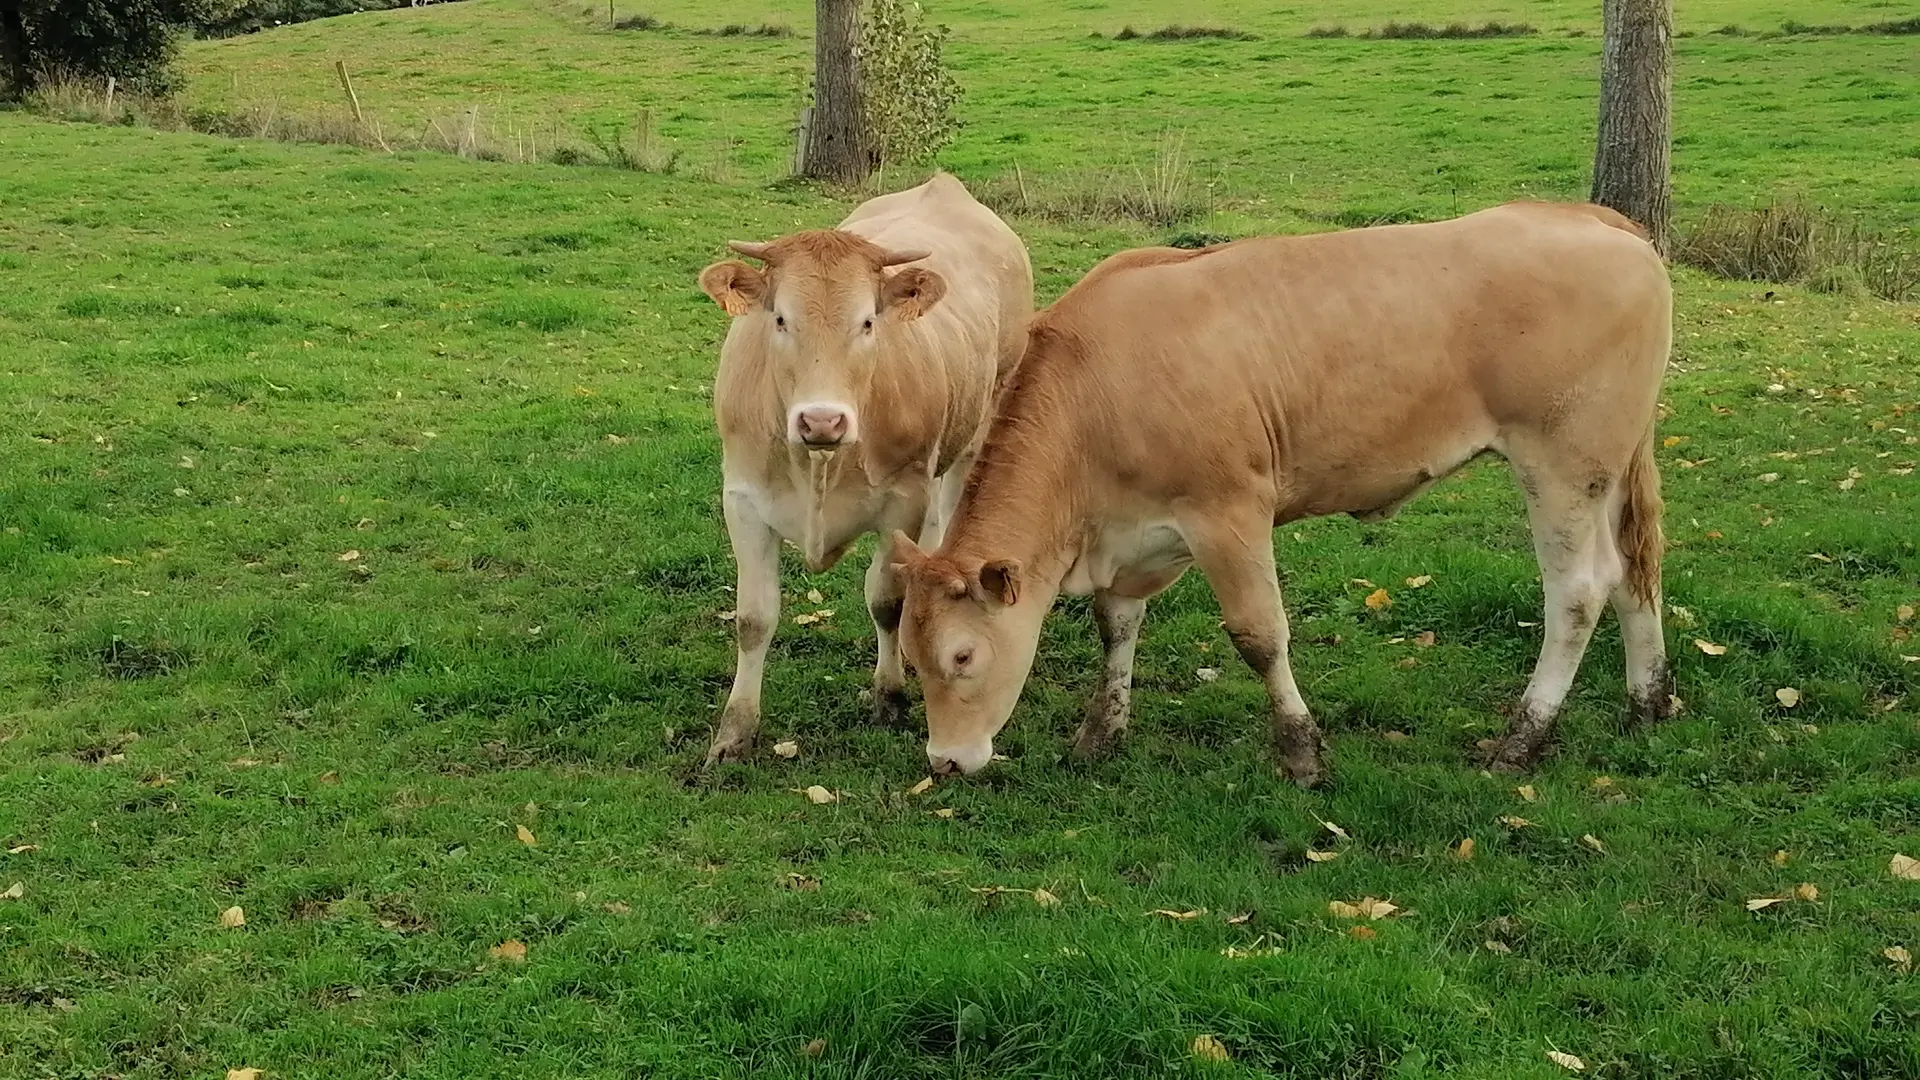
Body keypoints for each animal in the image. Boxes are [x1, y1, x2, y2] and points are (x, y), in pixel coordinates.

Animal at [698, 171, 1036, 764]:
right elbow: (754, 619)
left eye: (868, 321)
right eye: (780, 318)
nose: (822, 419)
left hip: (982, 418)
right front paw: (735, 733)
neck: (817, 461)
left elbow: (886, 601)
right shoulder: (741, 499)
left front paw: (890, 697)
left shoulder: (903, 499)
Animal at [890, 199, 1674, 780]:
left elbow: (1259, 635)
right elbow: (1116, 625)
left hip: (1563, 462)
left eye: (962, 657)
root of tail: (1598, 220)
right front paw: (1100, 734)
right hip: (1614, 464)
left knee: (1579, 589)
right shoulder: (1132, 532)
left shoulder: (1227, 511)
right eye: (910, 655)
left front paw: (1301, 752)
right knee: (1636, 572)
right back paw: (1648, 702)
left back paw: (1522, 738)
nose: (945, 761)